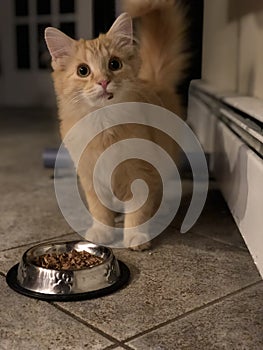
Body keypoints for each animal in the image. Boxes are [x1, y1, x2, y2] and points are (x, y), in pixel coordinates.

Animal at [44, 0, 190, 252]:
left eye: (114, 64)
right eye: (83, 70)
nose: (103, 81)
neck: (103, 125)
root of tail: (153, 80)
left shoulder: (141, 173)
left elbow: (139, 211)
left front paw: (136, 236)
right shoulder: (89, 174)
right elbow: (99, 210)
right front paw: (103, 231)